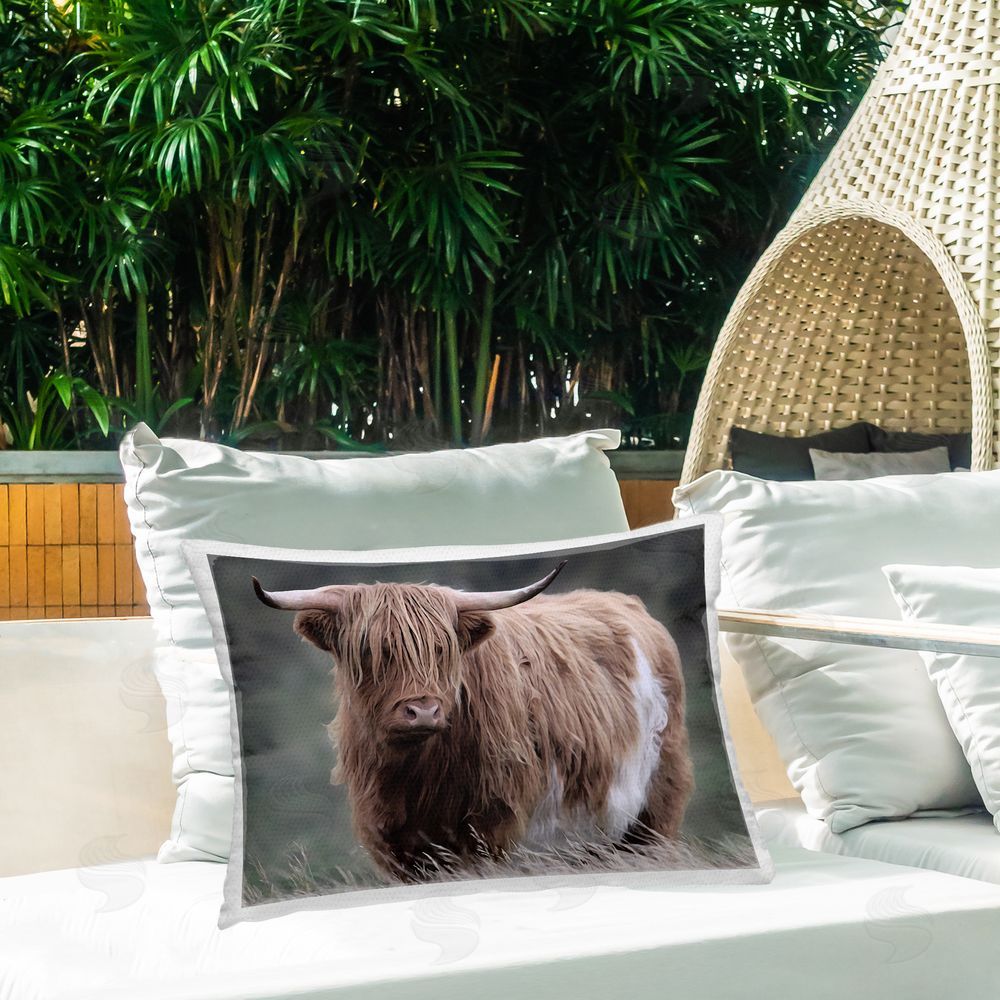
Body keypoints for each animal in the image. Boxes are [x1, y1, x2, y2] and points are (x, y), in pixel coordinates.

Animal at [253, 563, 693, 880]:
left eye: (441, 648)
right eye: (370, 649)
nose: (423, 710)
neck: (417, 777)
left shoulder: (492, 831)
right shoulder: (396, 843)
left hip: (653, 811)